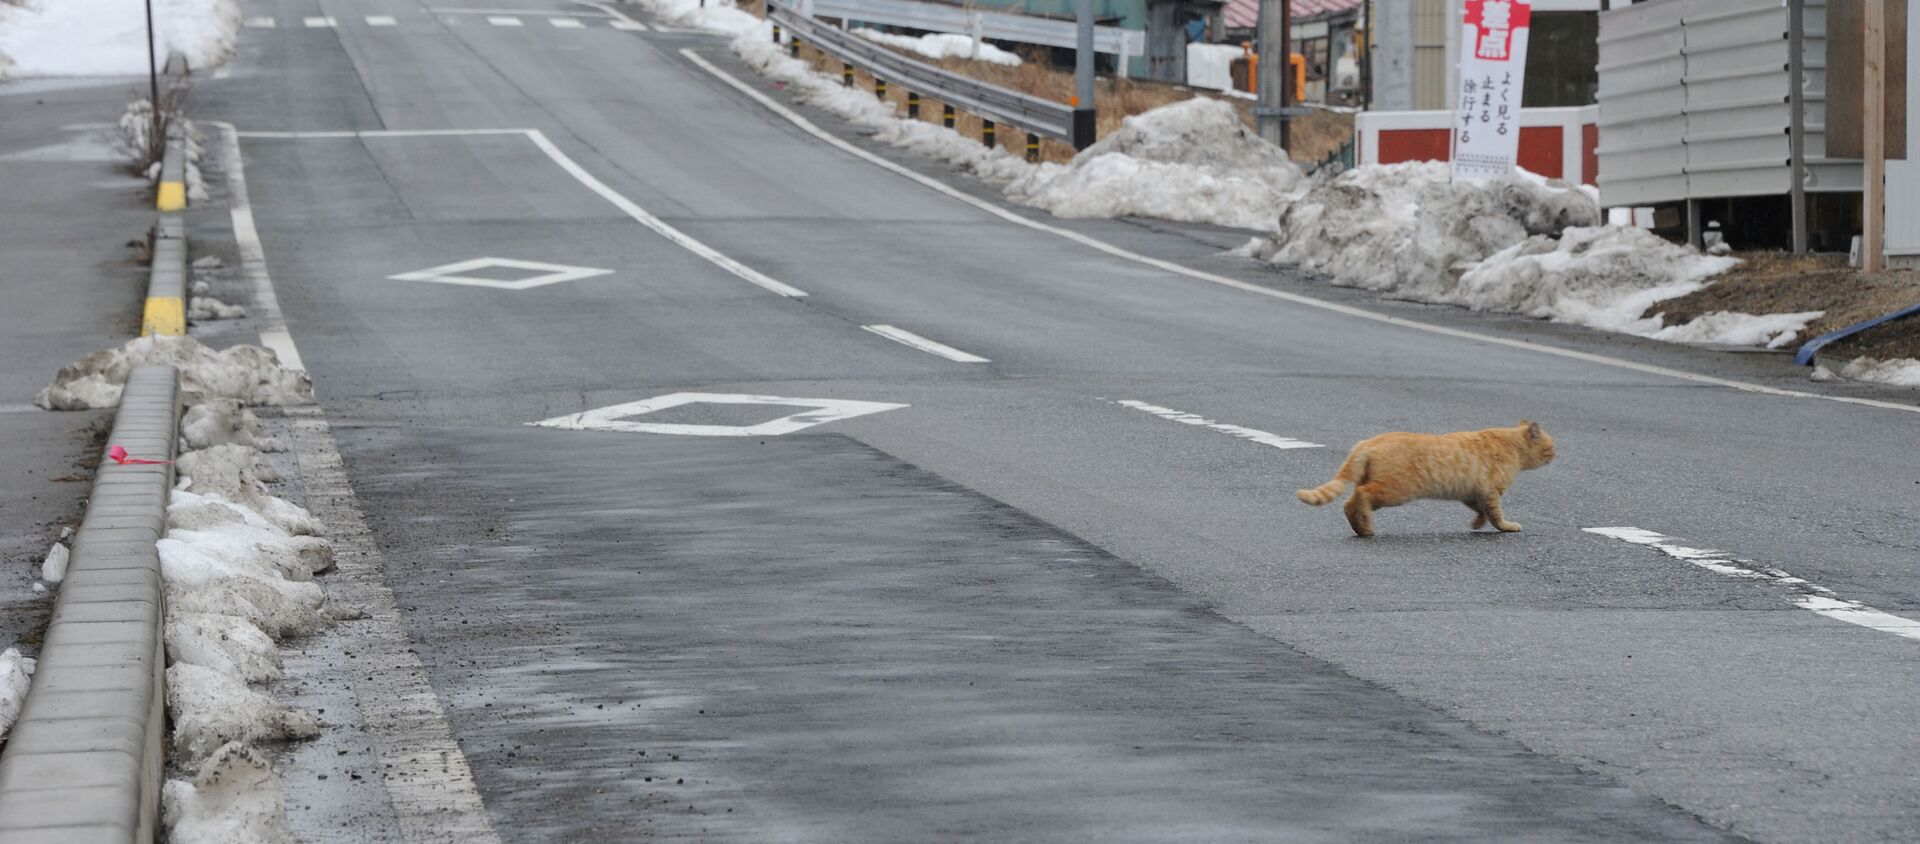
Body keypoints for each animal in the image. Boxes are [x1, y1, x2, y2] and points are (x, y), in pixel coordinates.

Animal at [1297, 420, 1551, 537]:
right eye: (1551, 447)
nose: (1556, 455)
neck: (1512, 445)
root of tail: (1367, 442)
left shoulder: (1471, 493)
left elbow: (1481, 511)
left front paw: (1477, 524)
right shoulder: (1490, 491)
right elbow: (1496, 514)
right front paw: (1506, 526)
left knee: (1349, 503)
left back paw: (1361, 528)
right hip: (1396, 491)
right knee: (1361, 496)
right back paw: (1366, 526)